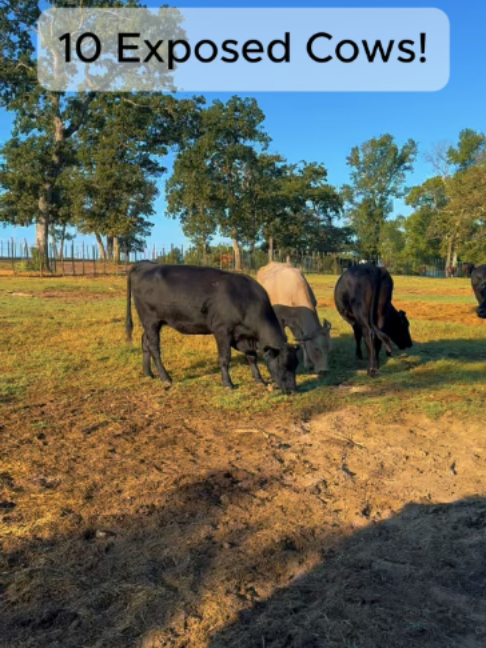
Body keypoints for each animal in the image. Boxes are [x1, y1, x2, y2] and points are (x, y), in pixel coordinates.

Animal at [126, 262, 299, 393]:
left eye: (296, 365)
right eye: (283, 366)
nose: (293, 390)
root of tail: (146, 264)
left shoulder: (244, 337)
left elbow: (252, 357)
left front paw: (259, 380)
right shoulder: (222, 331)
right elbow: (225, 358)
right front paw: (228, 384)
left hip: (153, 323)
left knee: (145, 343)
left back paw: (148, 373)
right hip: (150, 320)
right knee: (154, 348)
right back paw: (166, 378)